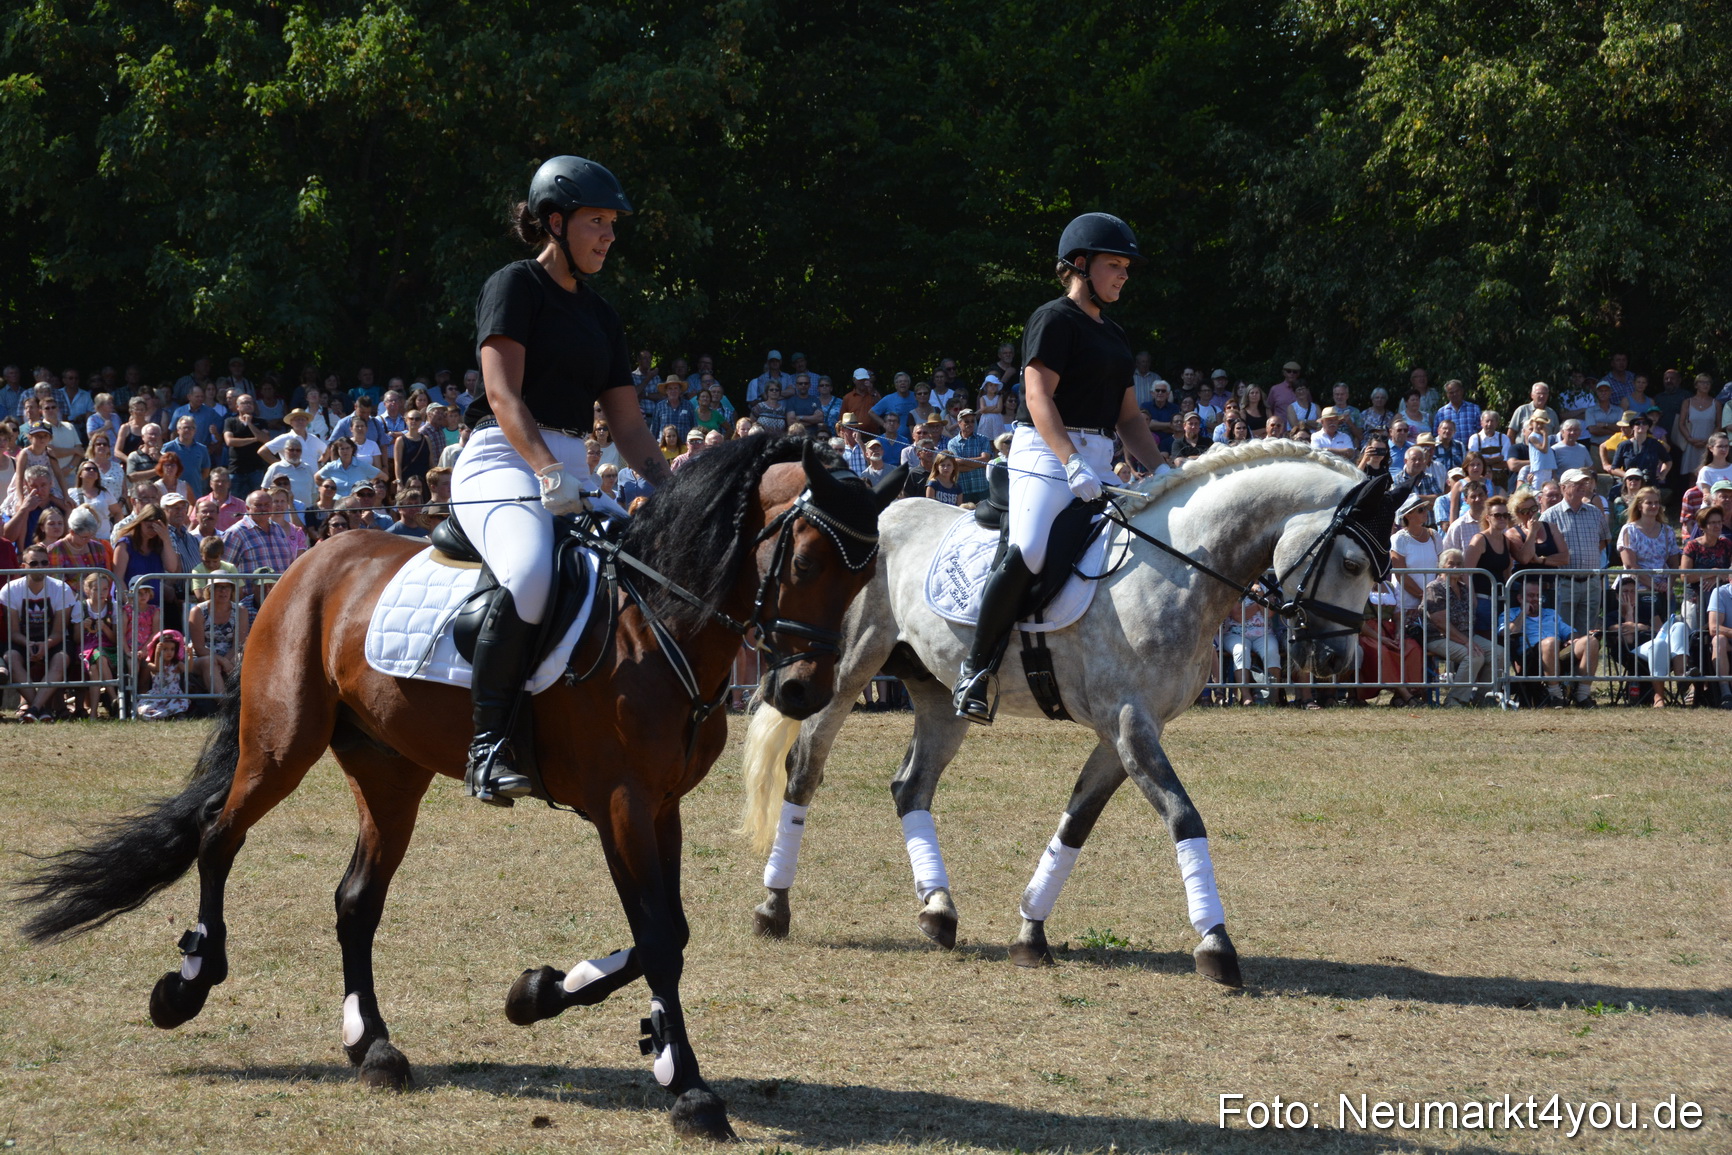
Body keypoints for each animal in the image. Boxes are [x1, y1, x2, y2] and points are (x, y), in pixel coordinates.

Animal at [17, 435, 900, 1142]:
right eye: (806, 562)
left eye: (865, 576)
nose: (800, 691)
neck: (658, 622)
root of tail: (306, 562)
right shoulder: (620, 804)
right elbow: (657, 937)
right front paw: (687, 1089)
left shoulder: (660, 805)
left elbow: (667, 933)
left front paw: (541, 992)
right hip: (280, 746)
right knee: (217, 836)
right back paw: (187, 985)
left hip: (389, 771)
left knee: (354, 899)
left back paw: (372, 1045)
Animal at [737, 440, 1401, 983]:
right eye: (1350, 563)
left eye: (1379, 568)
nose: (1335, 659)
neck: (1177, 570)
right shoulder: (1131, 723)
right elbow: (1184, 817)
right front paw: (1215, 943)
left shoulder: (1123, 732)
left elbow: (1077, 823)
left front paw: (1030, 932)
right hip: (842, 669)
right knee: (806, 768)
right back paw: (773, 906)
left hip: (939, 694)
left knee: (911, 786)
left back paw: (939, 910)